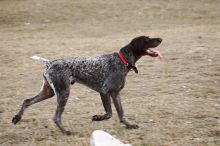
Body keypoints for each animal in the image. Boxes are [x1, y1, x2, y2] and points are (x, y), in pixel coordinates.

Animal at [12, 36, 163, 135]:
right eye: (147, 40)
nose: (160, 39)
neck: (122, 60)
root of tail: (50, 63)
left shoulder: (115, 94)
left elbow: (121, 114)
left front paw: (129, 125)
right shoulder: (104, 92)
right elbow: (109, 113)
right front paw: (97, 118)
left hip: (49, 92)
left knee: (27, 101)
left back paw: (17, 118)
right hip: (63, 93)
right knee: (56, 117)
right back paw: (66, 132)